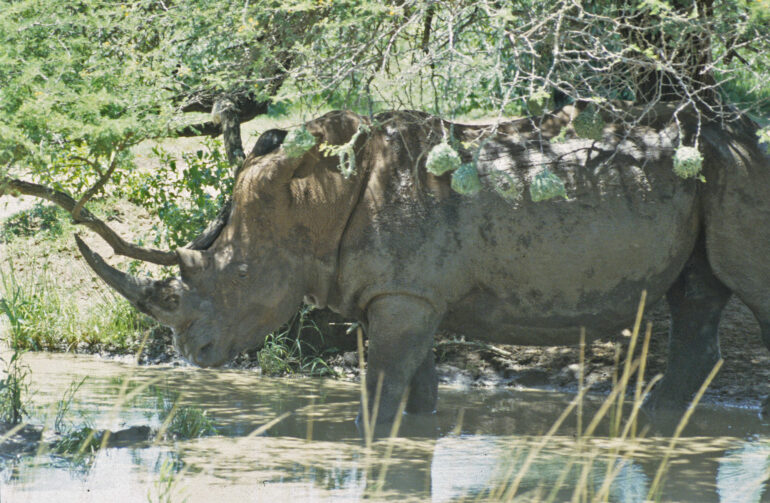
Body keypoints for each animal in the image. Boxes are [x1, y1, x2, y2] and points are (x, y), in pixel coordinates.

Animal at [75, 106, 770, 423]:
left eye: (238, 277)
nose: (192, 354)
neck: (313, 201)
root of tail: (744, 136)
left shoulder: (404, 295)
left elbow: (382, 386)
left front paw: (370, 435)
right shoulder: (405, 291)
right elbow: (416, 383)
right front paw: (416, 430)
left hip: (740, 171)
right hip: (710, 177)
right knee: (696, 295)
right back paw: (659, 422)